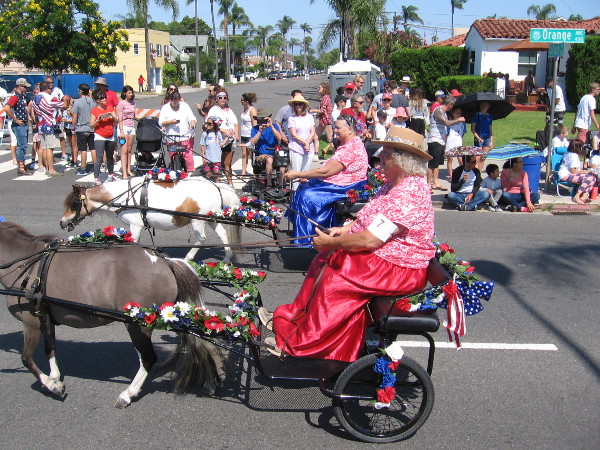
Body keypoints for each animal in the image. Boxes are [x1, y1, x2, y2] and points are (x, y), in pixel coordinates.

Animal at [0, 221, 224, 408]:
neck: (26, 265)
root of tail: (165, 262)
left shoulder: (30, 322)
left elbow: (26, 358)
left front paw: (51, 385)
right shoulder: (44, 317)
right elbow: (50, 348)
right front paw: (55, 377)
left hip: (138, 323)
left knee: (148, 358)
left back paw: (128, 394)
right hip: (172, 316)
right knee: (198, 341)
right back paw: (211, 381)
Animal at [59, 176, 242, 263]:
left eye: (74, 204)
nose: (62, 222)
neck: (125, 195)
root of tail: (216, 186)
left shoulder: (135, 226)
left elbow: (132, 242)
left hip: (198, 220)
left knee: (201, 238)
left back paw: (188, 258)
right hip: (210, 219)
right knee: (222, 234)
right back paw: (227, 257)